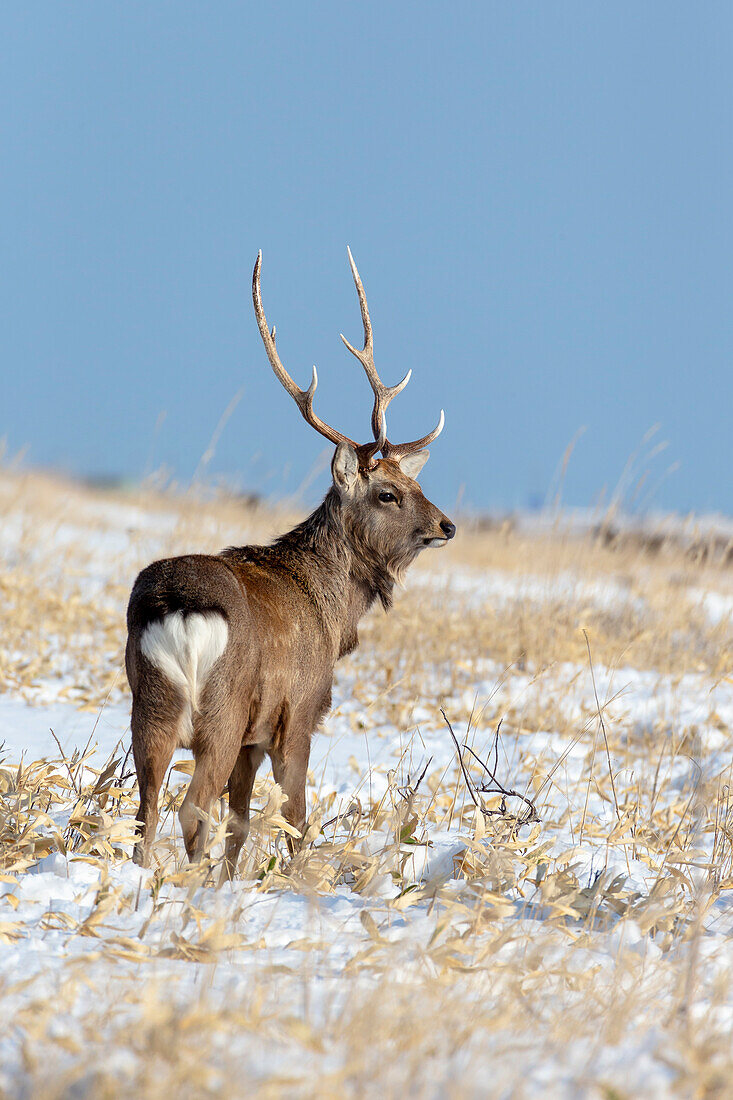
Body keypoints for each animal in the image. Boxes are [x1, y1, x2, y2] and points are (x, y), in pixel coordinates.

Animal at [128, 245, 453, 880]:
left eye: (414, 483)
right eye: (388, 494)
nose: (447, 526)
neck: (332, 613)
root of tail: (177, 606)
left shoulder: (253, 738)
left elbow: (241, 820)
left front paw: (232, 881)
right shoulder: (297, 712)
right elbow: (296, 816)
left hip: (148, 705)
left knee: (147, 809)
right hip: (221, 710)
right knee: (190, 809)